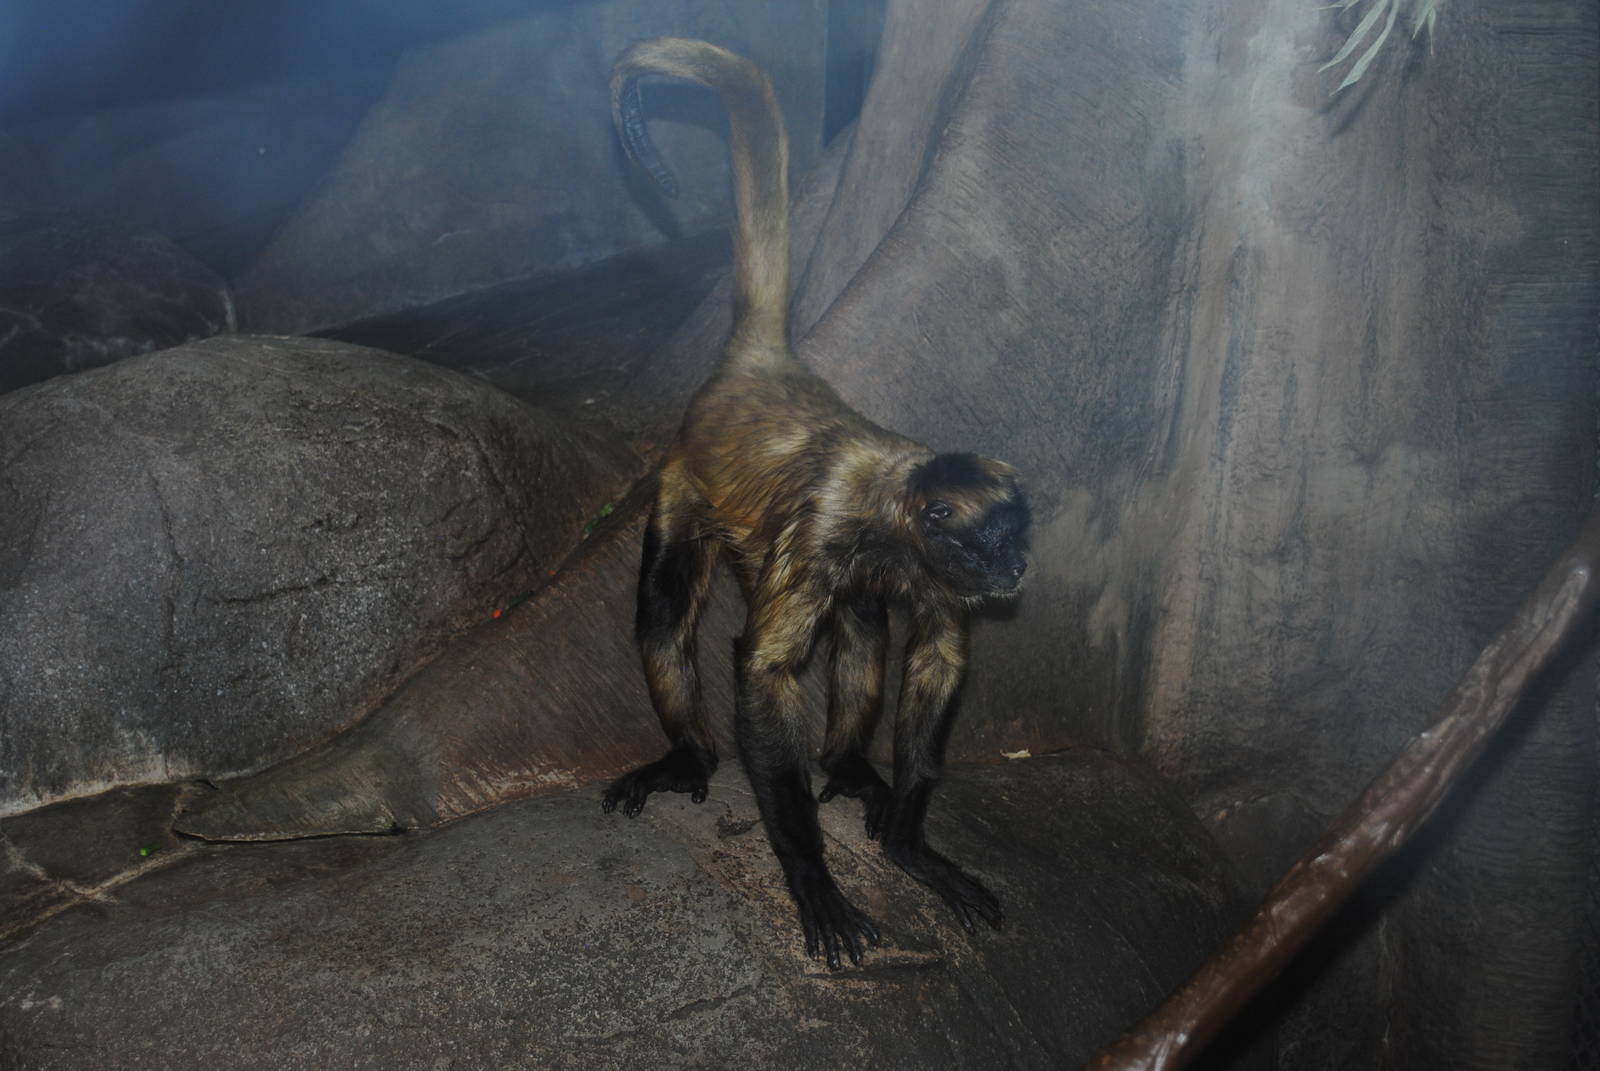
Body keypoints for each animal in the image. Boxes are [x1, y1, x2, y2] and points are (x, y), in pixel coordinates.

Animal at [599, 37, 1031, 970]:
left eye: (1019, 535)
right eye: (990, 542)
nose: (1018, 567)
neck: (895, 505)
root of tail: (762, 364)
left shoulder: (922, 572)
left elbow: (937, 659)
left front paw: (910, 848)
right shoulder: (826, 531)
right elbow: (764, 668)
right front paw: (813, 879)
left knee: (863, 623)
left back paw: (850, 763)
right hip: (684, 483)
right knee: (665, 611)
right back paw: (690, 758)